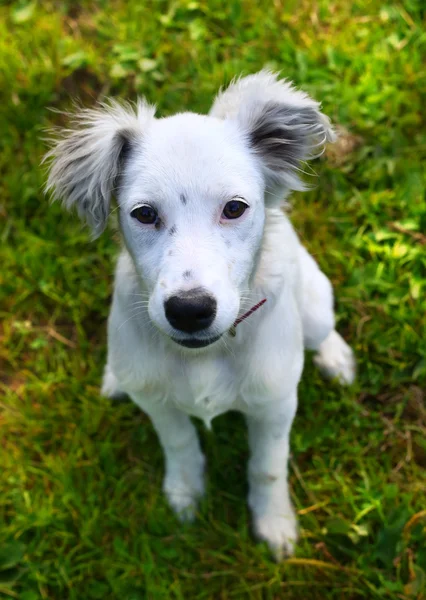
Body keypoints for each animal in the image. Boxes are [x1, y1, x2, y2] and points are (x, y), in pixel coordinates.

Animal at [45, 72, 354, 560]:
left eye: (235, 208)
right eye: (144, 214)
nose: (189, 311)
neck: (205, 354)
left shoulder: (275, 404)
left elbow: (268, 466)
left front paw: (275, 523)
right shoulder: (157, 400)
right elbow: (179, 442)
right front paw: (186, 493)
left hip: (316, 303)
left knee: (323, 330)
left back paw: (337, 358)